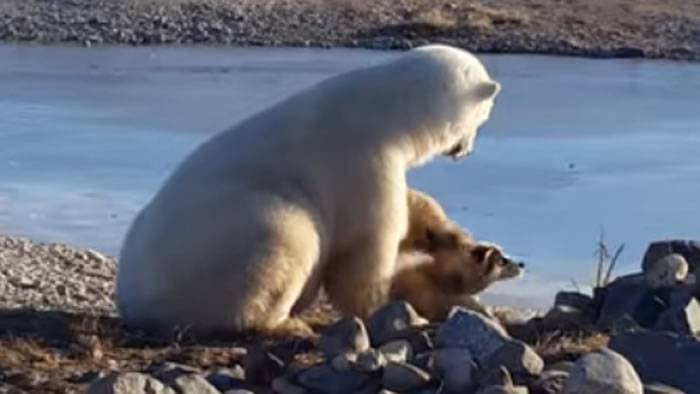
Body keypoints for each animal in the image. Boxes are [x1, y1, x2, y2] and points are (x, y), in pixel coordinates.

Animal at [115, 44, 500, 338]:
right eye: (484, 116)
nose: (466, 151)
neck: (390, 108)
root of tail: (133, 301)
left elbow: (411, 208)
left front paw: (452, 237)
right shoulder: (363, 158)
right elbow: (364, 246)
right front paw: (391, 309)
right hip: (230, 241)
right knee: (289, 238)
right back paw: (285, 325)